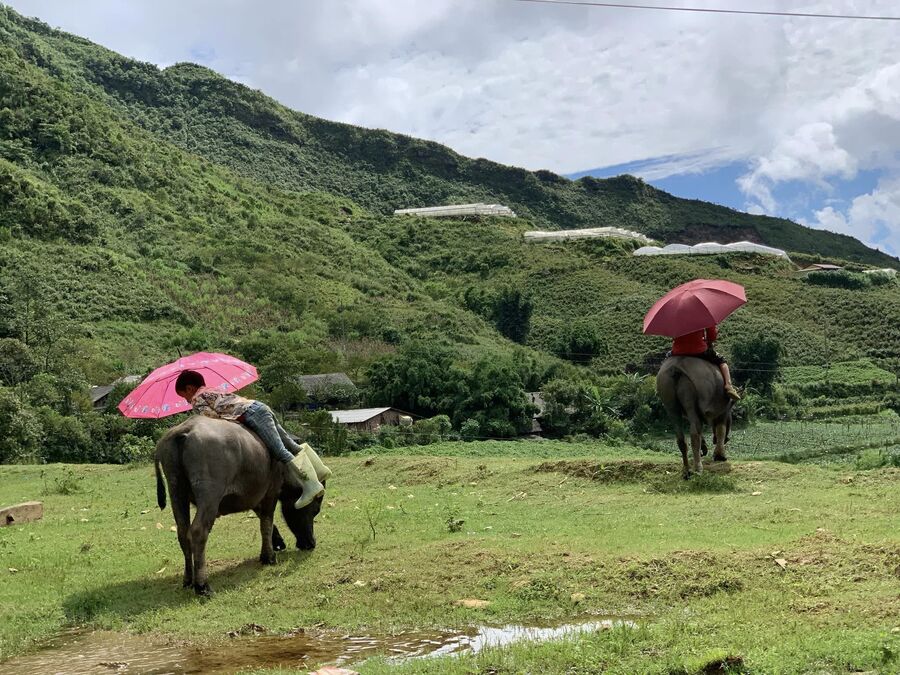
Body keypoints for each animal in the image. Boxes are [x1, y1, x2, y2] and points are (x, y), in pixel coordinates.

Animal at [155, 418, 324, 596]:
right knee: (198, 531)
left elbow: (263, 518)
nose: (311, 543)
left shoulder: (254, 496)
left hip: (176, 490)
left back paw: (188, 579)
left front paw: (278, 542)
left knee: (182, 532)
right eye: (315, 509)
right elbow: (266, 523)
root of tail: (185, 429)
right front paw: (268, 557)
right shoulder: (271, 492)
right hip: (210, 496)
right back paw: (202, 585)